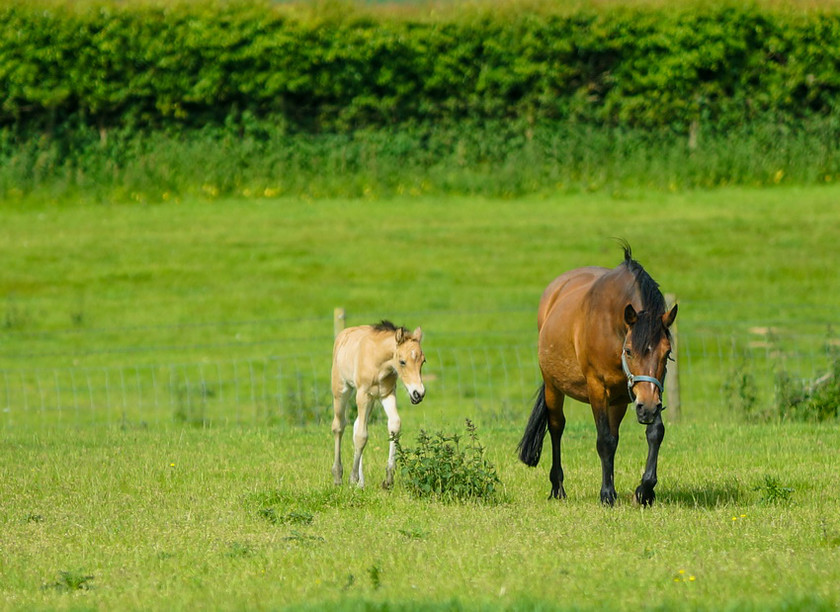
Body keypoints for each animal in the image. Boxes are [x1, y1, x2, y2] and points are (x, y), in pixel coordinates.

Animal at [520, 244, 676, 506]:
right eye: (629, 350)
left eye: (667, 352)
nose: (647, 409)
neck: (613, 327)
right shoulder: (597, 388)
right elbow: (604, 440)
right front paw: (607, 495)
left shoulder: (651, 390)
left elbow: (654, 433)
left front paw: (645, 491)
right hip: (553, 386)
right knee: (556, 427)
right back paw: (558, 488)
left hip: (619, 400)